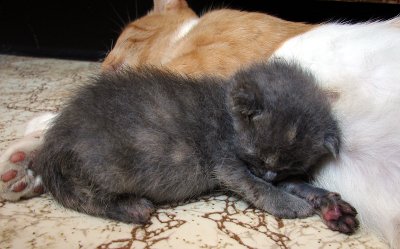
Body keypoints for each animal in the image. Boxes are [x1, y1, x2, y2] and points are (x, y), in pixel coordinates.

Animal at [32, 60, 348, 228]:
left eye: (286, 167)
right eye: (259, 158)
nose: (269, 175)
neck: (227, 116)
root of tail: (53, 139)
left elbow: (293, 184)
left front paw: (324, 199)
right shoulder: (226, 163)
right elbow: (256, 188)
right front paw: (290, 205)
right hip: (105, 166)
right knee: (87, 197)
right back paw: (132, 207)